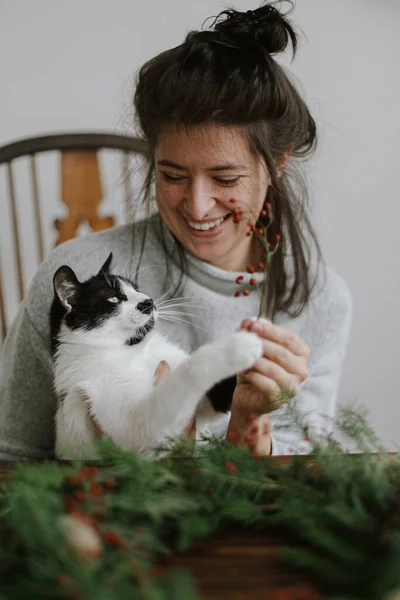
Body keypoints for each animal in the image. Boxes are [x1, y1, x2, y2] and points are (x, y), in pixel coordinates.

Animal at [50, 253, 262, 460]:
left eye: (136, 289)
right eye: (113, 299)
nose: (148, 301)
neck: (135, 351)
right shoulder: (135, 427)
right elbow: (187, 374)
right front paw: (239, 346)